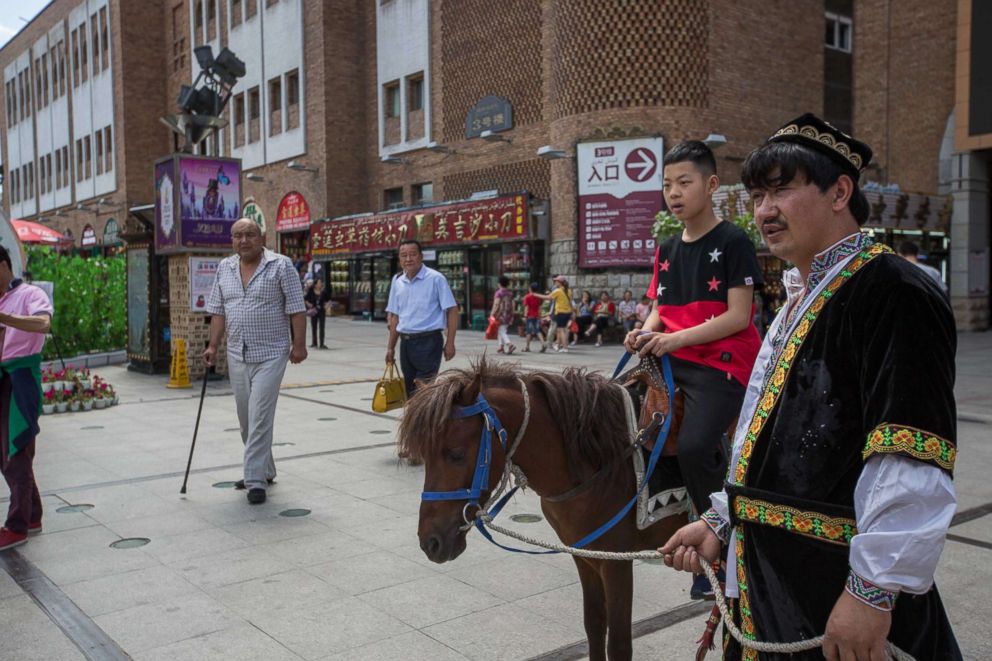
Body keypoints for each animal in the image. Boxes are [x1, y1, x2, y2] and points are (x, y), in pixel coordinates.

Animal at [400, 360, 684, 660]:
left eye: (455, 454)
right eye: (425, 455)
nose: (430, 542)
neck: (602, 462)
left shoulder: (616, 561)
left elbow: (618, 644)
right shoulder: (585, 555)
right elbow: (595, 624)